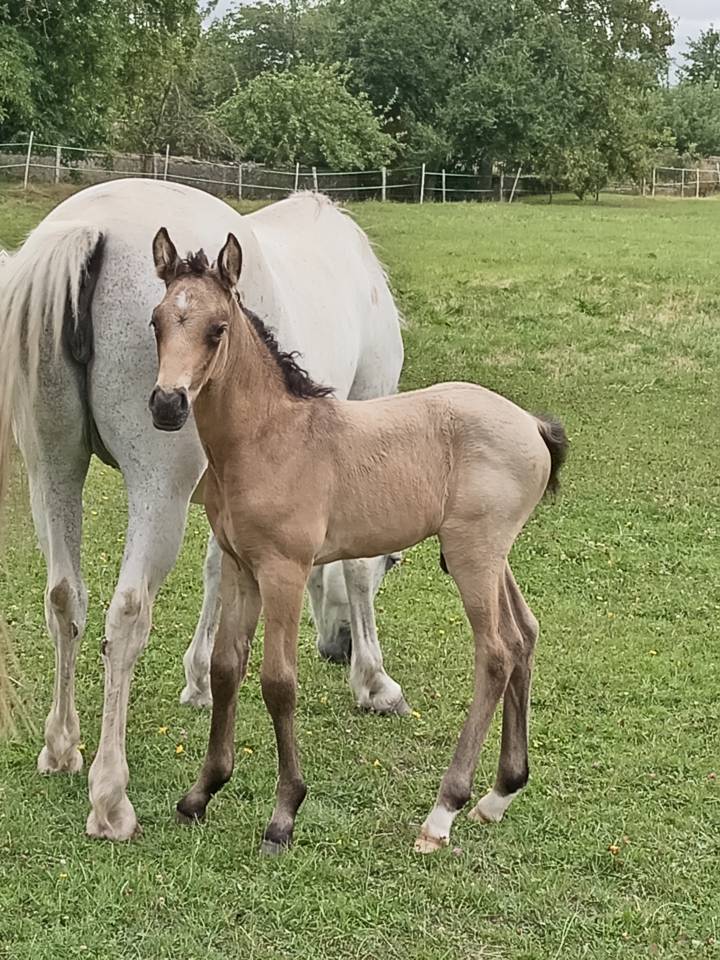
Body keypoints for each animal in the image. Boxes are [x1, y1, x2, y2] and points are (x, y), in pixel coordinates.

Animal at [0, 179, 407, 841]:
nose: (338, 648)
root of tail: (89, 227)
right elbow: (352, 569)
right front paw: (373, 681)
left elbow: (219, 569)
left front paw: (199, 678)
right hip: (156, 491)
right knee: (125, 616)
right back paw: (110, 798)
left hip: (53, 470)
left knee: (64, 600)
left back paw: (62, 748)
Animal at [148, 230, 569, 855]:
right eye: (156, 322)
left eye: (216, 329)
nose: (167, 404)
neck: (269, 438)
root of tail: (533, 425)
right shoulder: (241, 567)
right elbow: (226, 669)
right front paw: (200, 794)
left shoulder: (284, 569)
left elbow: (278, 682)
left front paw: (283, 816)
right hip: (493, 556)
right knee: (524, 637)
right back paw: (498, 795)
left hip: (473, 555)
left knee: (494, 653)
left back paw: (443, 811)